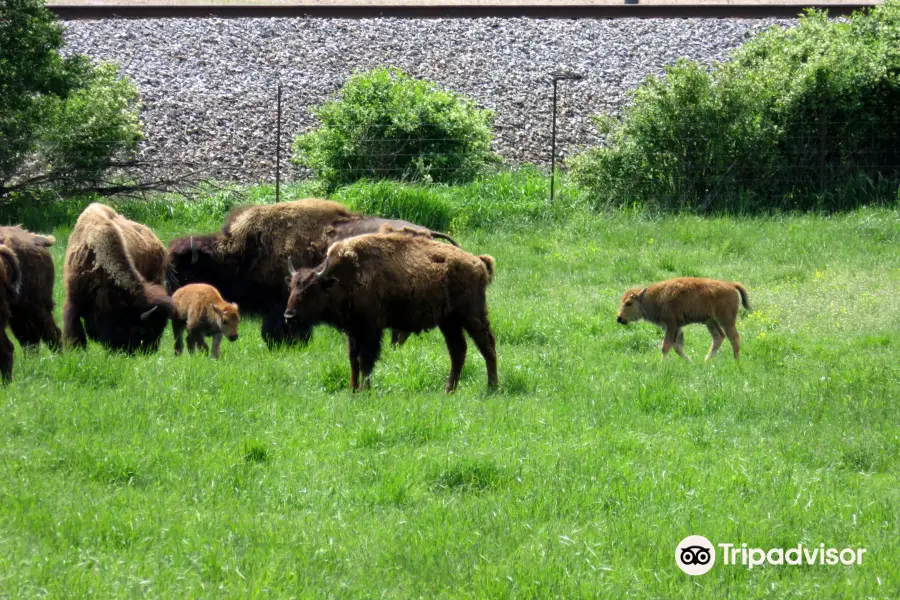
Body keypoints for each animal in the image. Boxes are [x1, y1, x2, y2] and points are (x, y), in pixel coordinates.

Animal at [616, 278, 748, 360]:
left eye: (629, 303)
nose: (619, 318)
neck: (650, 298)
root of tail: (731, 285)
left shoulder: (671, 325)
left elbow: (666, 346)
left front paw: (662, 364)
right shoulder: (677, 327)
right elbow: (677, 347)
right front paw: (690, 362)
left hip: (726, 320)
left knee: (734, 338)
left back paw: (736, 361)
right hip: (710, 321)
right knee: (718, 337)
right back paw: (706, 361)